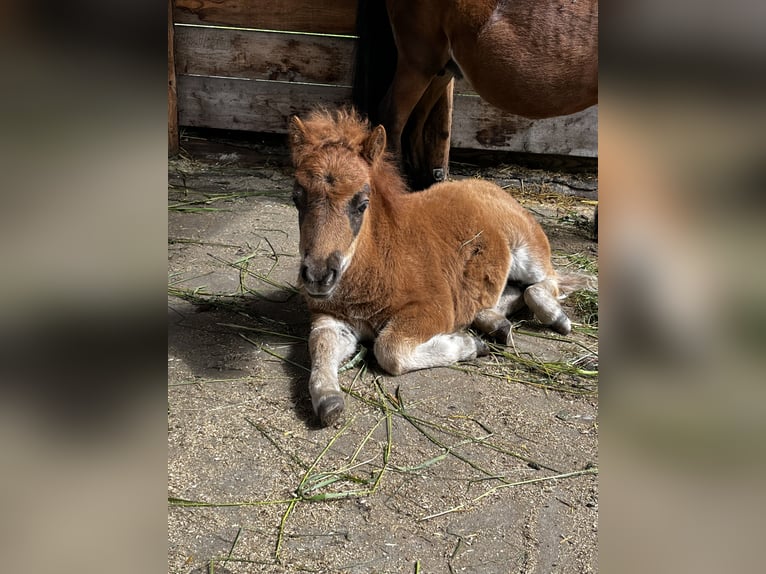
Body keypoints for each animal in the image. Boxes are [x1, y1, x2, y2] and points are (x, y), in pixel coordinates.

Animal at [292, 109, 592, 428]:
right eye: (296, 198)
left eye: (362, 203)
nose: (318, 276)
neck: (377, 261)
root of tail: (489, 186)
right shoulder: (330, 318)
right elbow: (320, 345)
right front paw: (328, 399)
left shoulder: (434, 308)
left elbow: (389, 350)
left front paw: (470, 345)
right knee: (511, 292)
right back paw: (494, 323)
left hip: (528, 248)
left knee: (546, 283)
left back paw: (554, 318)